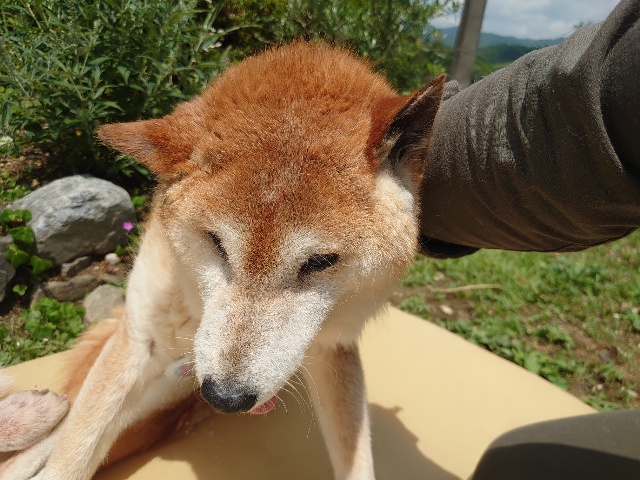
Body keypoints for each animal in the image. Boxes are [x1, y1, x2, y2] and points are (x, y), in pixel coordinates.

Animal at [0, 42, 443, 479]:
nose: (225, 398)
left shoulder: (333, 350)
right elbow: (70, 459)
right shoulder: (137, 340)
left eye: (320, 261)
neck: (196, 304)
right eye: (216, 242)